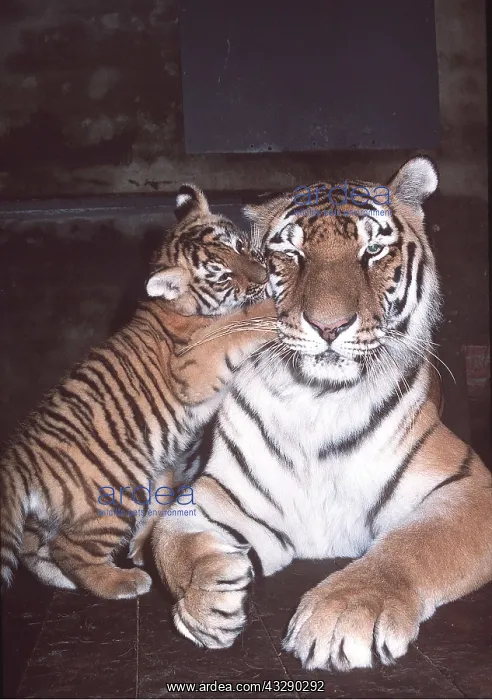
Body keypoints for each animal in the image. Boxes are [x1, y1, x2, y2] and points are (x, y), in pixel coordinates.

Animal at [0, 183, 276, 600]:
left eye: (241, 246)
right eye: (224, 277)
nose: (262, 276)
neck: (181, 308)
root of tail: (19, 457)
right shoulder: (193, 366)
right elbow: (237, 324)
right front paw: (274, 304)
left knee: (37, 551)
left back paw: (63, 580)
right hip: (116, 493)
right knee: (71, 550)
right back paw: (122, 582)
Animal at [149, 157, 492, 671]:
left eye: (373, 250)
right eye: (292, 253)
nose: (329, 326)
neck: (317, 401)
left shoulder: (468, 486)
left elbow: (416, 544)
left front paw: (343, 612)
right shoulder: (222, 492)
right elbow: (170, 537)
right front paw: (207, 598)